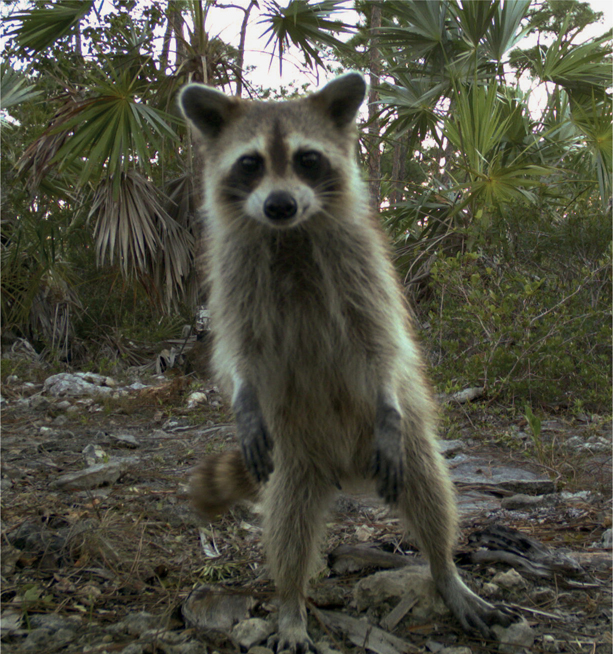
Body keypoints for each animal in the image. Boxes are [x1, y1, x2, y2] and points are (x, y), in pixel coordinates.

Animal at [178, 73, 512, 652]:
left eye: (307, 159)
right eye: (250, 163)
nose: (280, 205)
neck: (289, 235)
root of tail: (344, 471)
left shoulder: (359, 261)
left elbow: (379, 340)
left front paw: (387, 387)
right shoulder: (234, 270)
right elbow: (240, 346)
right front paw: (243, 393)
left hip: (396, 447)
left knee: (431, 490)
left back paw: (445, 569)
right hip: (293, 457)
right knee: (287, 526)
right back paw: (291, 604)